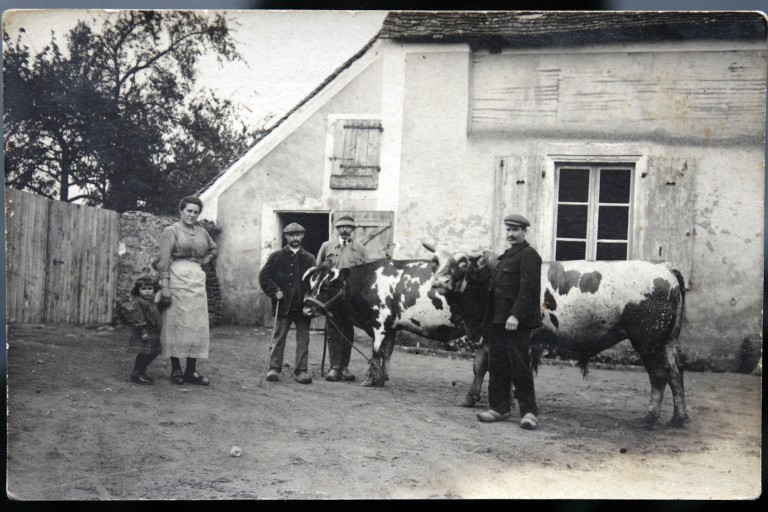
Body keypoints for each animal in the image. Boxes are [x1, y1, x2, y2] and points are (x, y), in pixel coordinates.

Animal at [300, 258, 486, 386]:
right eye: (311, 283)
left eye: (326, 286)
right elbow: (386, 353)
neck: (367, 282)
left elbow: (376, 351)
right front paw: (382, 378)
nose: (307, 310)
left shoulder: (379, 324)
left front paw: (370, 379)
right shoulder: (392, 327)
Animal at [426, 246, 688, 426]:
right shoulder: (491, 334)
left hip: (648, 341)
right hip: (667, 341)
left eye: (462, 262)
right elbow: (481, 365)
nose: (438, 282)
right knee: (675, 373)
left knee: (659, 375)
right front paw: (471, 398)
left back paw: (650, 417)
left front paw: (509, 401)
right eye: (435, 261)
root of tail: (663, 268)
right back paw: (679, 417)